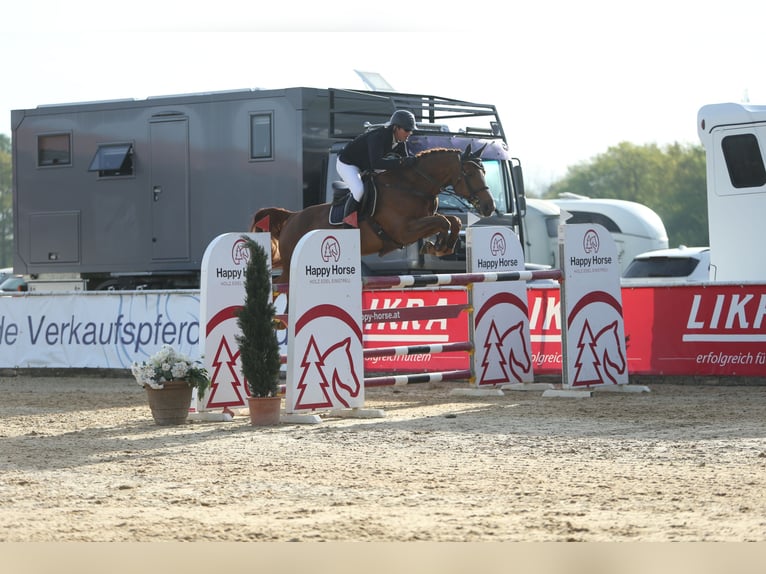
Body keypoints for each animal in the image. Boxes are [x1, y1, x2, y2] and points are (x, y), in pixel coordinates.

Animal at [249, 146, 496, 286]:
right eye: (469, 172)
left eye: (484, 171)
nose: (489, 207)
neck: (412, 187)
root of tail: (292, 217)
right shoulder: (403, 231)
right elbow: (443, 220)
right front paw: (438, 247)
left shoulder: (419, 224)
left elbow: (452, 221)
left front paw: (441, 246)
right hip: (291, 264)